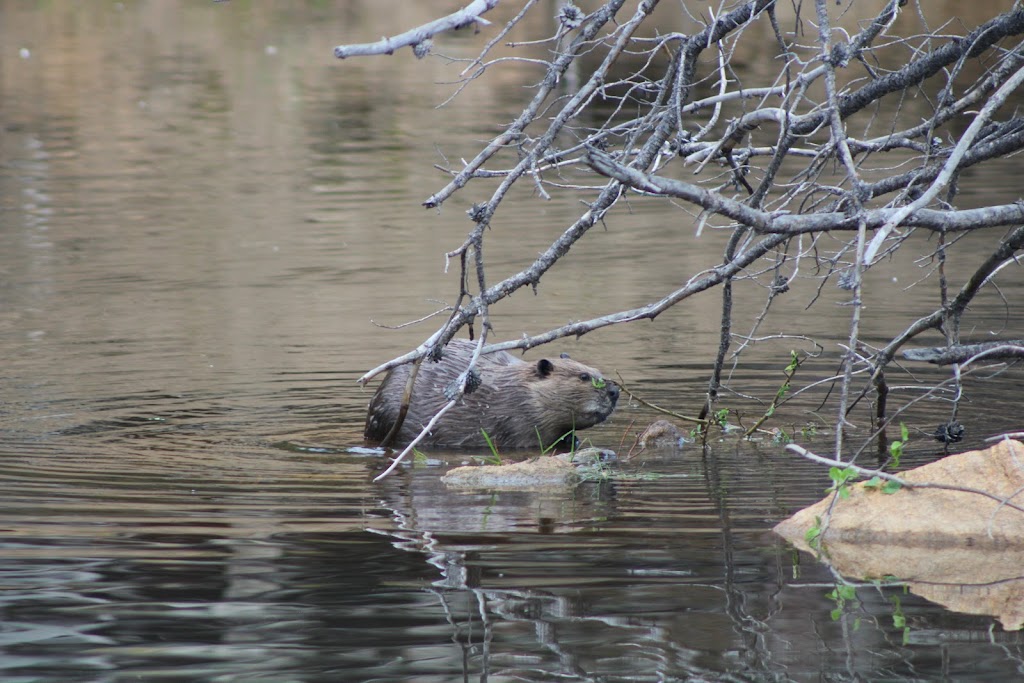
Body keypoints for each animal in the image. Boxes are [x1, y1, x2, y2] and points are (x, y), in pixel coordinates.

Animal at [366, 339, 618, 448]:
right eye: (583, 377)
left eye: (597, 372)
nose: (614, 391)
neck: (517, 390)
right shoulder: (514, 422)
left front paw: (573, 440)